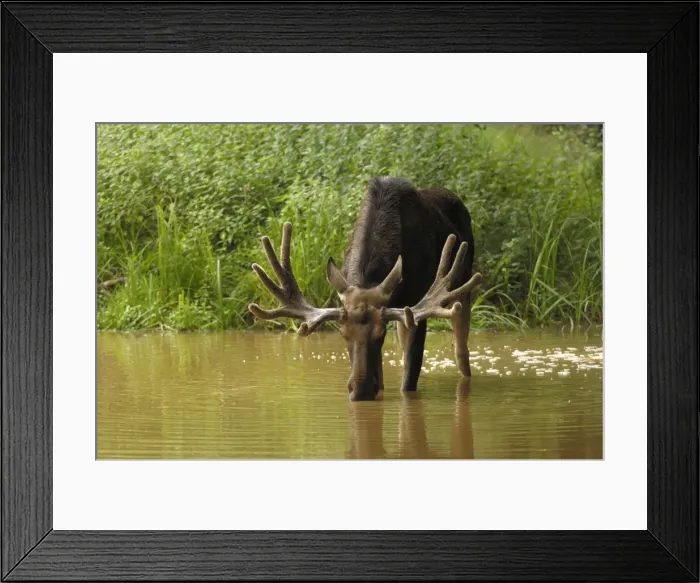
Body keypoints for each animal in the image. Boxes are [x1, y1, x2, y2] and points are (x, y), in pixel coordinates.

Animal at [248, 177, 483, 401]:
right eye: (342, 334)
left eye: (381, 334)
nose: (361, 391)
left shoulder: (415, 309)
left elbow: (408, 382)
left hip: (462, 286)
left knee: (462, 350)